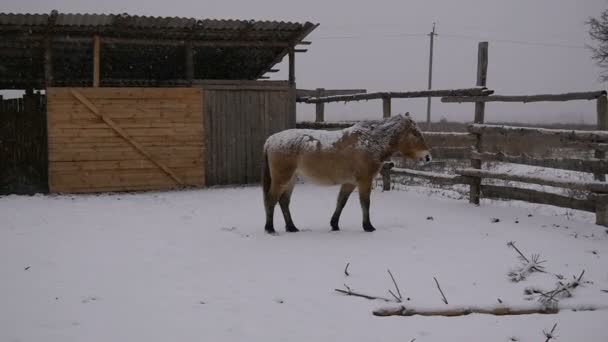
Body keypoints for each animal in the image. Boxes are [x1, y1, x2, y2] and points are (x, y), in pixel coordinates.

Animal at [262, 113, 432, 234]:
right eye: (415, 134)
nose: (428, 157)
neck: (370, 142)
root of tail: (270, 140)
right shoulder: (364, 181)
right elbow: (365, 203)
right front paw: (368, 226)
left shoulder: (349, 183)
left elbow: (341, 203)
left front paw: (334, 225)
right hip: (282, 179)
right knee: (271, 200)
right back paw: (270, 228)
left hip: (291, 179)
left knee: (284, 202)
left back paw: (291, 227)